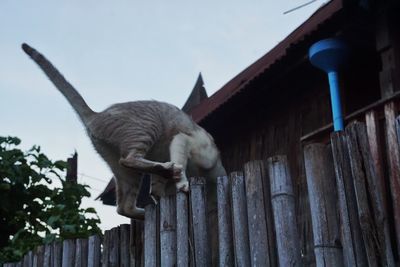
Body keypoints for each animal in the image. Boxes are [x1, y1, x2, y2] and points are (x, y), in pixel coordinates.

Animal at [21, 43, 227, 220]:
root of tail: (96, 115)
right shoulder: (182, 140)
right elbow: (180, 166)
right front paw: (181, 182)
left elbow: (156, 190)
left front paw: (165, 194)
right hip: (146, 130)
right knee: (130, 159)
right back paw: (168, 170)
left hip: (125, 173)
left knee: (123, 206)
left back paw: (148, 206)